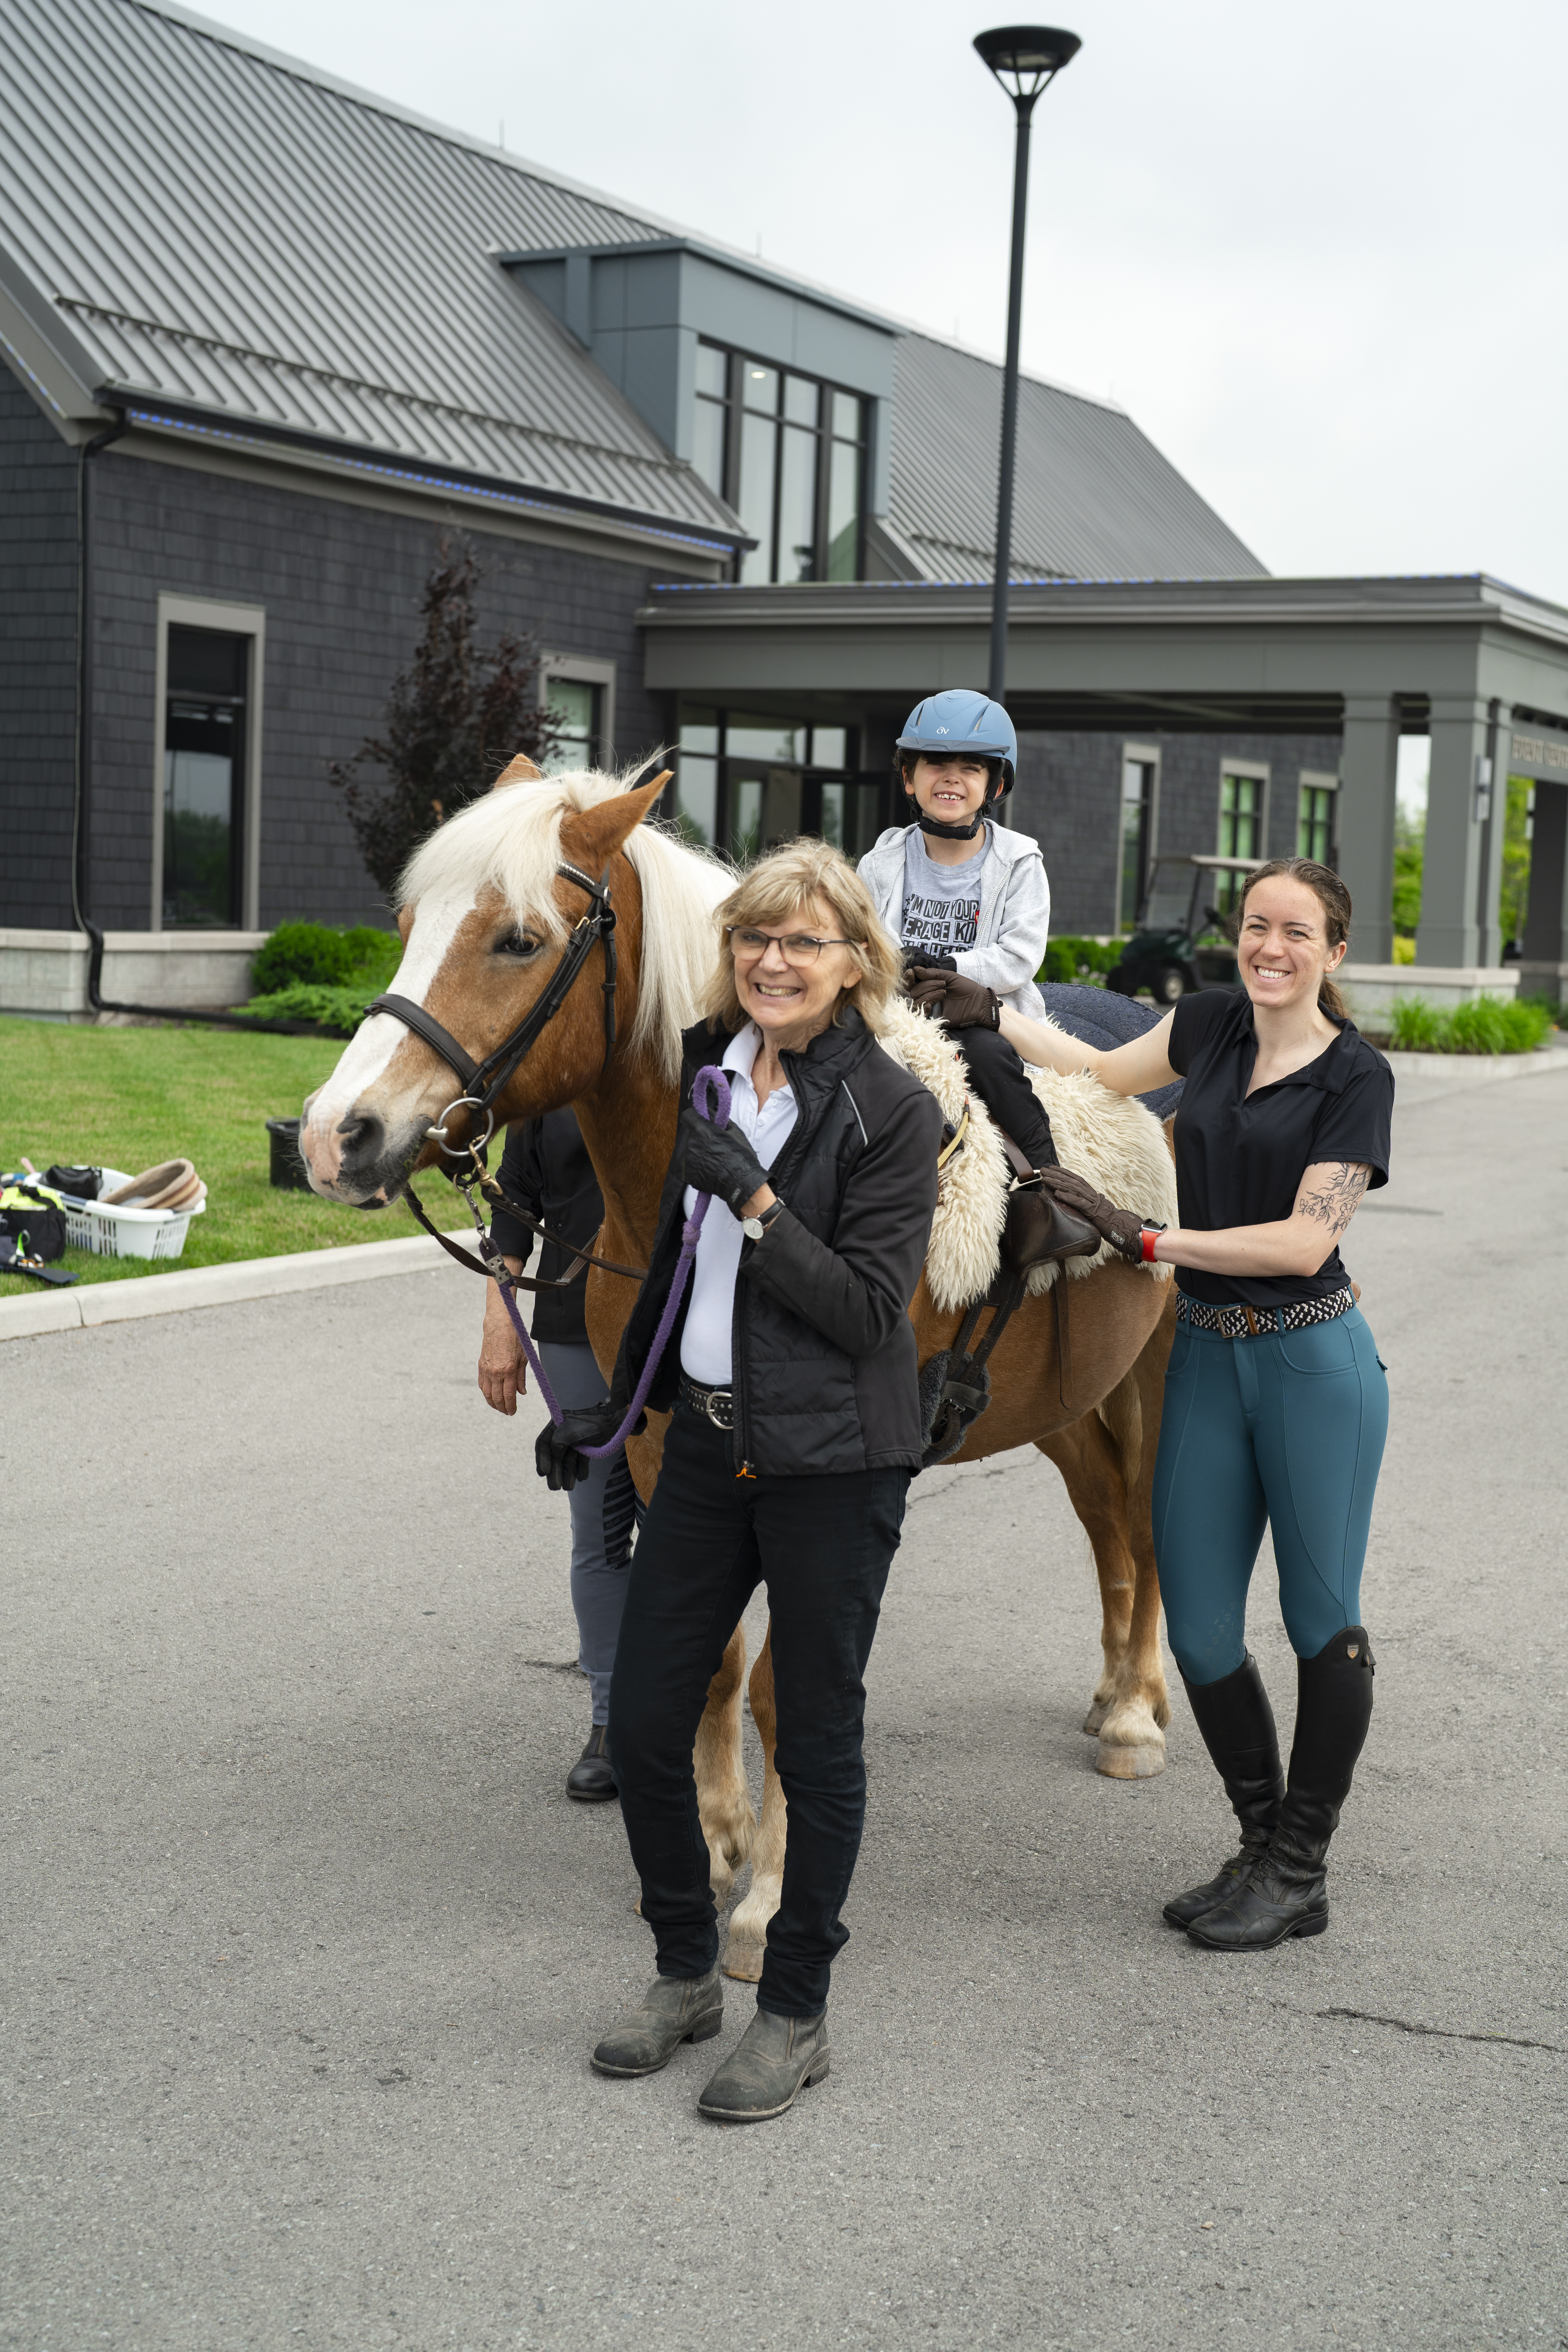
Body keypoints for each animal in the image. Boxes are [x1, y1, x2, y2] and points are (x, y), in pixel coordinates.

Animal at [301, 771, 1171, 1985]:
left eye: (518, 939)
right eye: (407, 926)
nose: (336, 1136)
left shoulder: (846, 1485)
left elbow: (782, 1686)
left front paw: (764, 1899)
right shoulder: (663, 1445)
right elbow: (709, 1659)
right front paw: (712, 1845)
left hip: (1158, 1377)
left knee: (1147, 1522)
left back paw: (1137, 1715)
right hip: (1067, 1402)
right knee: (1106, 1526)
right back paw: (1111, 1695)